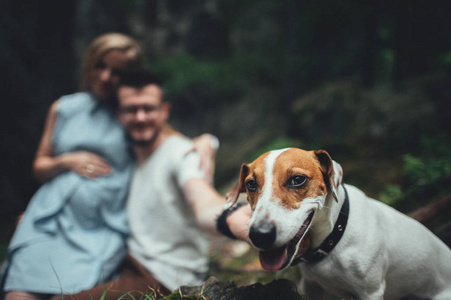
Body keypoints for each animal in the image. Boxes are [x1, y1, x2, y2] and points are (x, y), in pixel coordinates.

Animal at [228, 148, 451, 300]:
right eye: (251, 184)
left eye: (298, 179)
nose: (260, 234)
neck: (331, 241)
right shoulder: (312, 287)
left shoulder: (371, 292)